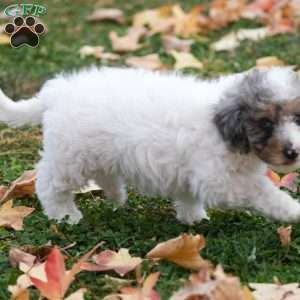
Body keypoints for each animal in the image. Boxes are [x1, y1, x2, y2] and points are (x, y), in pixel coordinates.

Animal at [1, 66, 300, 225]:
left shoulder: (192, 173)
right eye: (266, 124)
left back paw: (116, 195)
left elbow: (188, 195)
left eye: (296, 118)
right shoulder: (222, 180)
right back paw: (65, 215)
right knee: (49, 184)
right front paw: (293, 211)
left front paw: (193, 218)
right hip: (70, 157)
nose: (293, 152)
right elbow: (263, 193)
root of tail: (56, 93)